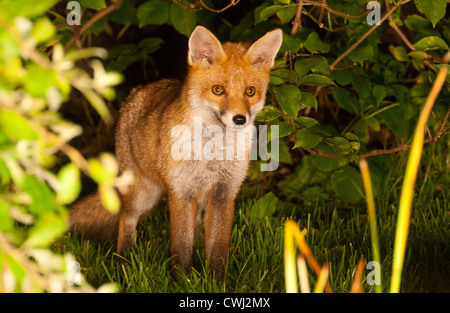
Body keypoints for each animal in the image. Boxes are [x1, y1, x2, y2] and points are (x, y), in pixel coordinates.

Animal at [69, 25, 284, 280]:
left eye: (250, 92)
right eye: (218, 90)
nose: (240, 119)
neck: (212, 152)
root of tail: (138, 91)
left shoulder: (224, 192)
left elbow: (218, 246)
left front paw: (216, 281)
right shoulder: (180, 192)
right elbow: (181, 246)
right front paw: (182, 280)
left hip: (197, 198)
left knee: (198, 224)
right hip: (144, 194)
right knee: (126, 218)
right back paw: (124, 260)